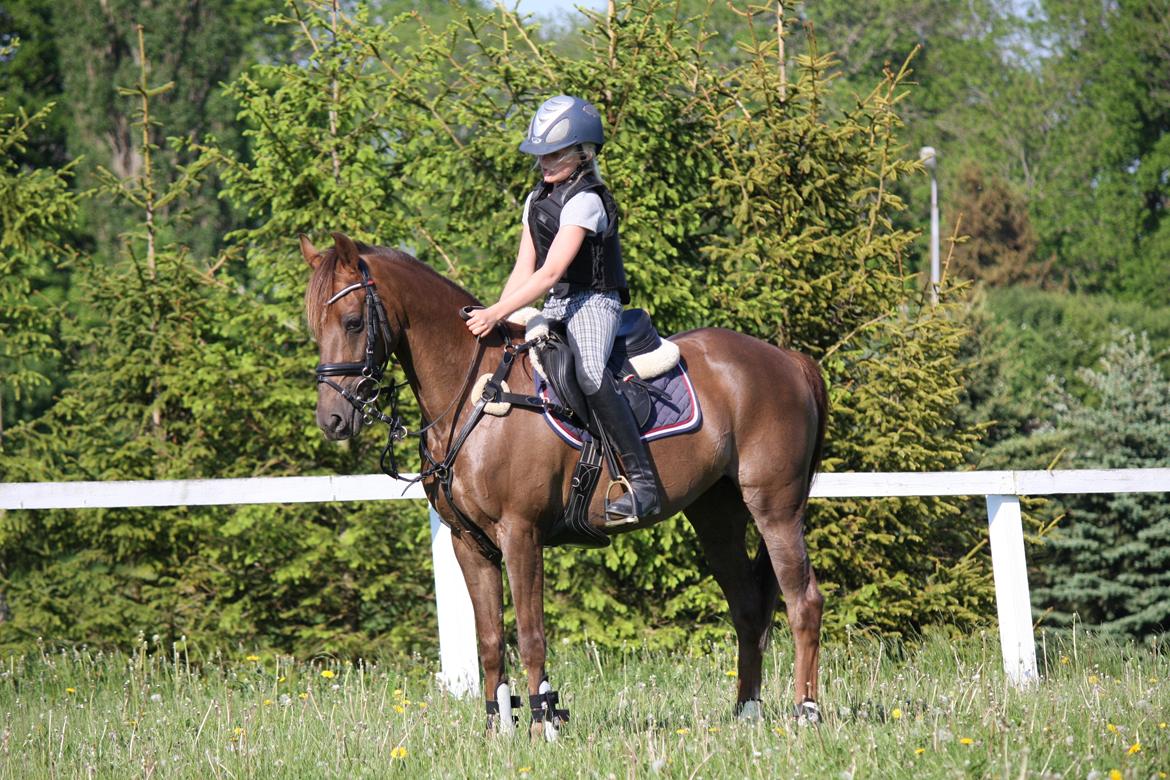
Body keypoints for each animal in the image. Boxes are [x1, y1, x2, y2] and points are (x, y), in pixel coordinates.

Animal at [301, 231, 828, 735]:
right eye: (315, 328)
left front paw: (544, 725)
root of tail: (787, 359)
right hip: (716, 515)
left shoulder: (521, 534)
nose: (332, 420)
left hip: (775, 507)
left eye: (353, 322)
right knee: (747, 608)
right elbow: (490, 641)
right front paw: (498, 732)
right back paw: (747, 714)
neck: (474, 396)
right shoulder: (468, 543)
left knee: (804, 601)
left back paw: (806, 712)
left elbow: (531, 636)